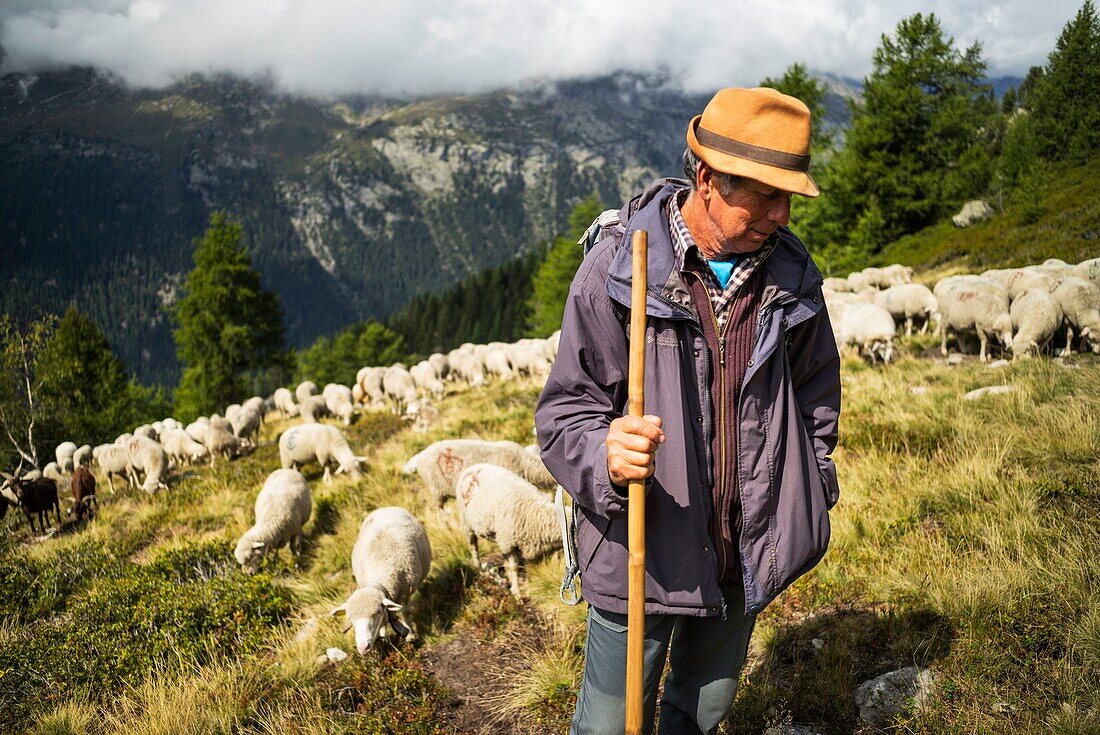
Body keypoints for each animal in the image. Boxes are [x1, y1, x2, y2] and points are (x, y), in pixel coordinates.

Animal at [327, 506, 431, 655]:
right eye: (351, 618)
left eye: (376, 613)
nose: (362, 648)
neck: (379, 569)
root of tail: (386, 508)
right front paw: (384, 638)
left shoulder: (406, 591)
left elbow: (405, 612)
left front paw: (410, 635)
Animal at [455, 464, 558, 598]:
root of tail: (472, 467)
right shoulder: (508, 543)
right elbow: (513, 567)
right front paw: (517, 592)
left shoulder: (521, 543)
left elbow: (522, 565)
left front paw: (524, 584)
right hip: (466, 523)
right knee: (473, 547)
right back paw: (478, 566)